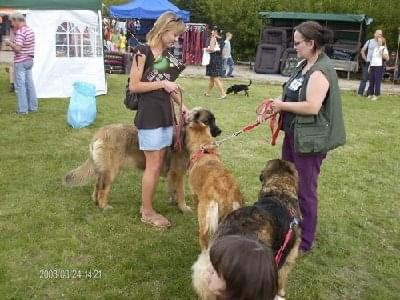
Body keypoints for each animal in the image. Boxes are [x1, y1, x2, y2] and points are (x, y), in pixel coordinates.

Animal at [64, 107, 223, 211]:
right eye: (207, 121)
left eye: (214, 120)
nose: (219, 131)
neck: (185, 135)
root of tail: (101, 132)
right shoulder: (177, 174)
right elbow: (181, 192)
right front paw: (183, 208)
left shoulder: (171, 175)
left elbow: (172, 189)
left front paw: (173, 202)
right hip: (111, 170)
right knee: (103, 186)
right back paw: (104, 206)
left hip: (104, 168)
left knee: (97, 184)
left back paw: (95, 201)